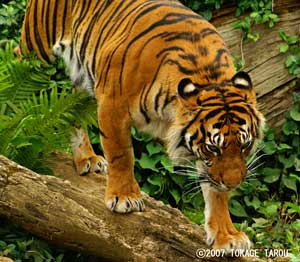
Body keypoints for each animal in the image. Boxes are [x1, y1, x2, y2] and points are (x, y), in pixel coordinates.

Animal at [17, 0, 264, 254]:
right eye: (213, 148)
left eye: (244, 146)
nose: (233, 184)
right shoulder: (112, 106)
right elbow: (122, 156)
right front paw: (125, 198)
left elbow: (215, 192)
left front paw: (226, 236)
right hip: (36, 49)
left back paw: (86, 158)